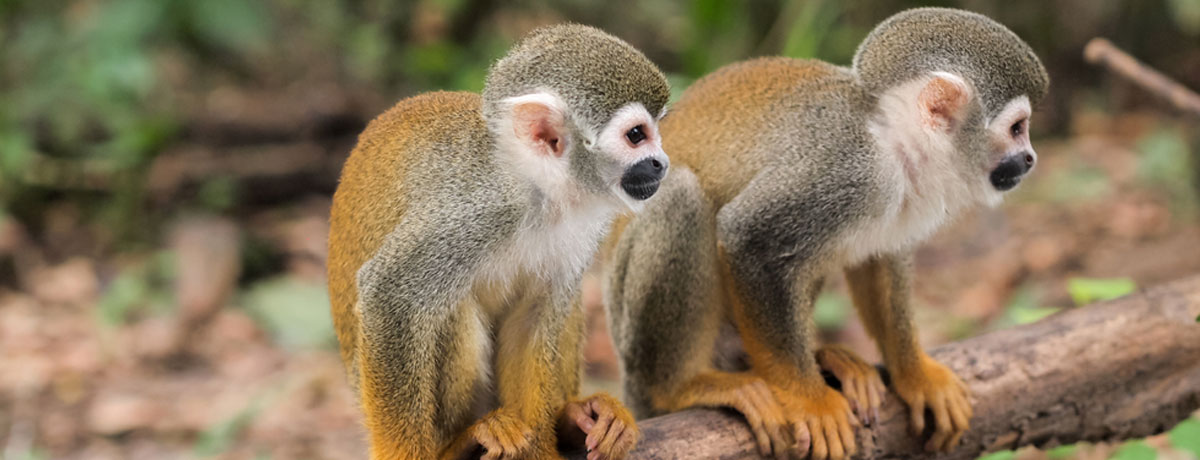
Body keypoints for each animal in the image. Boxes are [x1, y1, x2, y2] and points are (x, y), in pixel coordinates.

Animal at [328, 24, 672, 460]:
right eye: (636, 136)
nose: (662, 163)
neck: (539, 191)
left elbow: (533, 318)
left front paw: (543, 446)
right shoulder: (471, 210)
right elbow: (389, 297)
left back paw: (572, 417)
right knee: (449, 306)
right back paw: (462, 441)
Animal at [604, 8, 1046, 460]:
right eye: (1018, 128)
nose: (1030, 158)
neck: (890, 144)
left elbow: (881, 259)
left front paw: (915, 373)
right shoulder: (847, 171)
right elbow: (748, 236)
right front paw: (809, 399)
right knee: (682, 197)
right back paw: (679, 387)